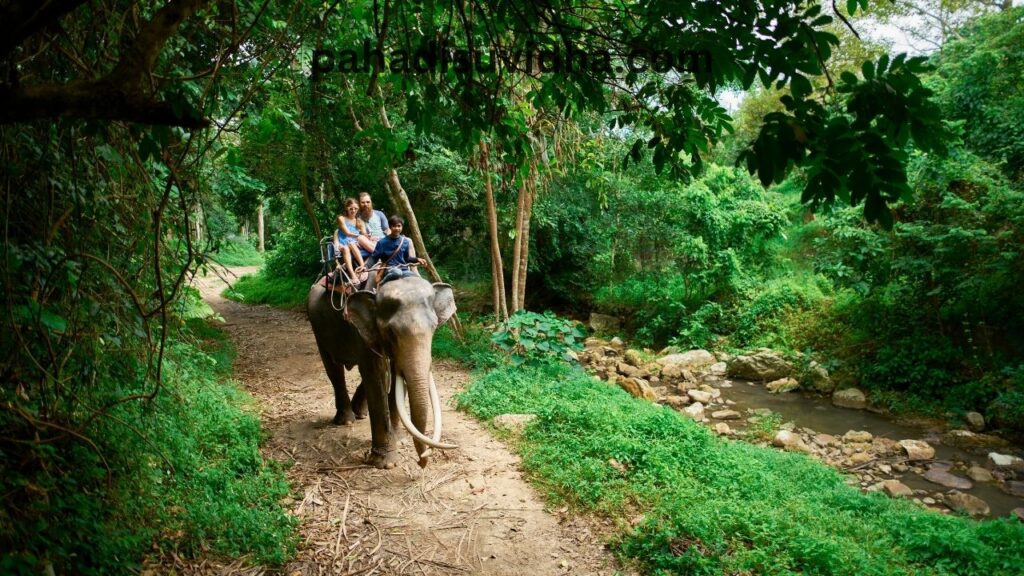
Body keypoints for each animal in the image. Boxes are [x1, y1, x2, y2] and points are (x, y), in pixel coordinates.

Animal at [305, 272, 458, 467]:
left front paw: (400, 440)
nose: (421, 462)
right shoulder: (361, 331)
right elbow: (375, 374)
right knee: (334, 370)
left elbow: (394, 373)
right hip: (318, 329)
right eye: (391, 331)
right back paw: (346, 421)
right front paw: (386, 462)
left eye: (434, 327)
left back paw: (360, 413)